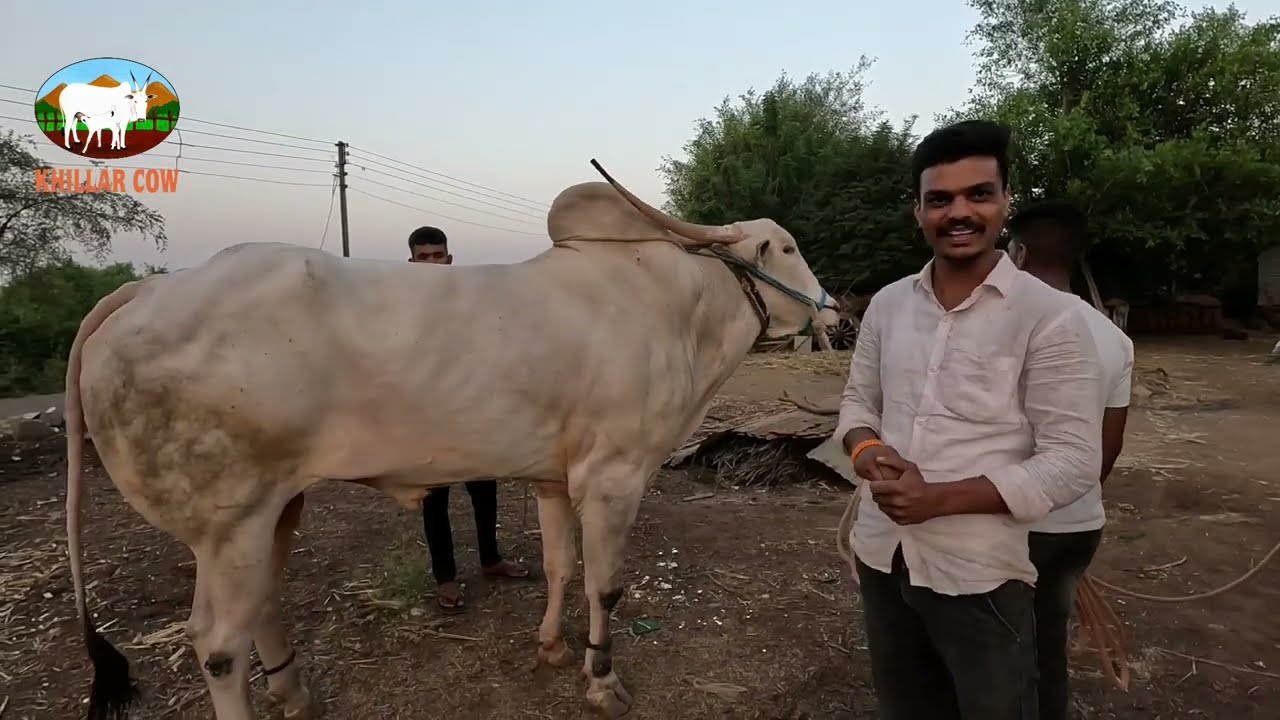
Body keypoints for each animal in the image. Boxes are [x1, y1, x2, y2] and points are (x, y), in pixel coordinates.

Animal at [63, 161, 840, 720]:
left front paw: (552, 648)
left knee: (258, 611)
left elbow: (560, 567)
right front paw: (601, 680)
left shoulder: (555, 477)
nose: (833, 308)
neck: (675, 308)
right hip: (230, 522)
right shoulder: (615, 477)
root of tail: (148, 291)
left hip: (273, 510)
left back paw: (294, 693)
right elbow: (607, 585)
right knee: (218, 645)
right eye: (789, 246)